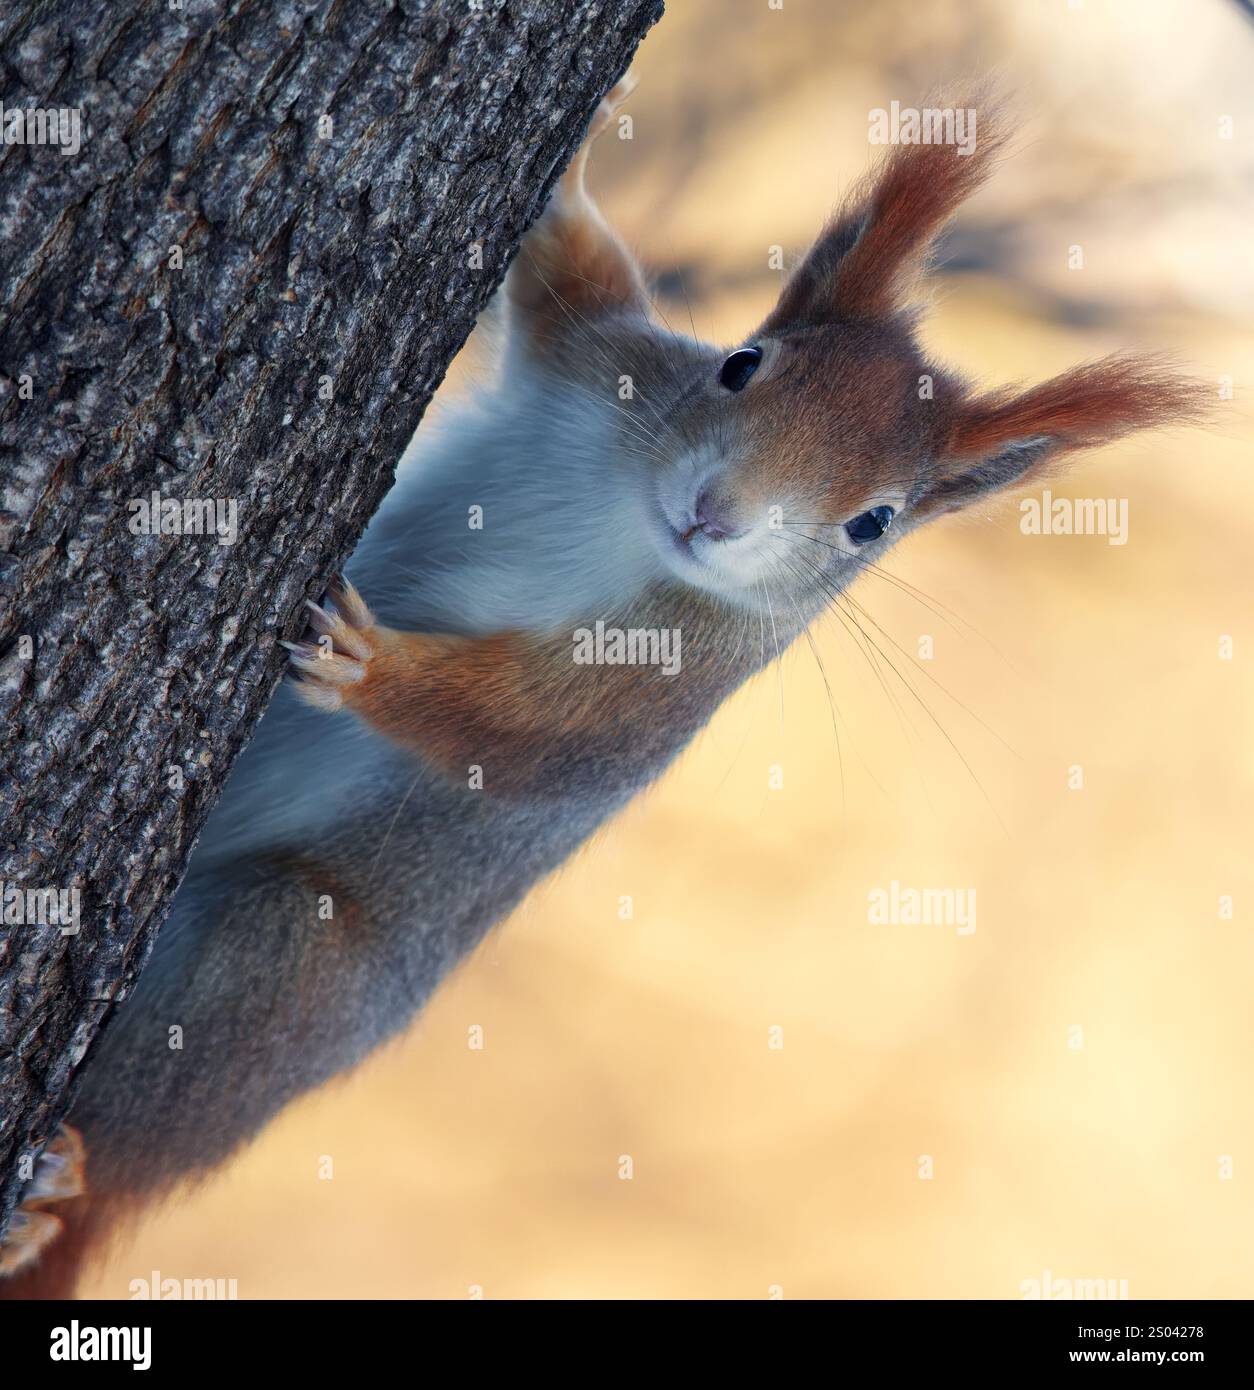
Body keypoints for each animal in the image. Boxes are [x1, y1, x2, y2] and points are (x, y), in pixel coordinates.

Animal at [0, 81, 1201, 1295]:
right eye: (742, 363)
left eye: (874, 523)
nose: (714, 514)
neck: (632, 516)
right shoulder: (596, 357)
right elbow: (568, 275)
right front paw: (573, 162)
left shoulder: (647, 696)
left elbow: (511, 734)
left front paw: (372, 663)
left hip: (274, 968)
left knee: (143, 1133)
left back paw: (59, 1191)